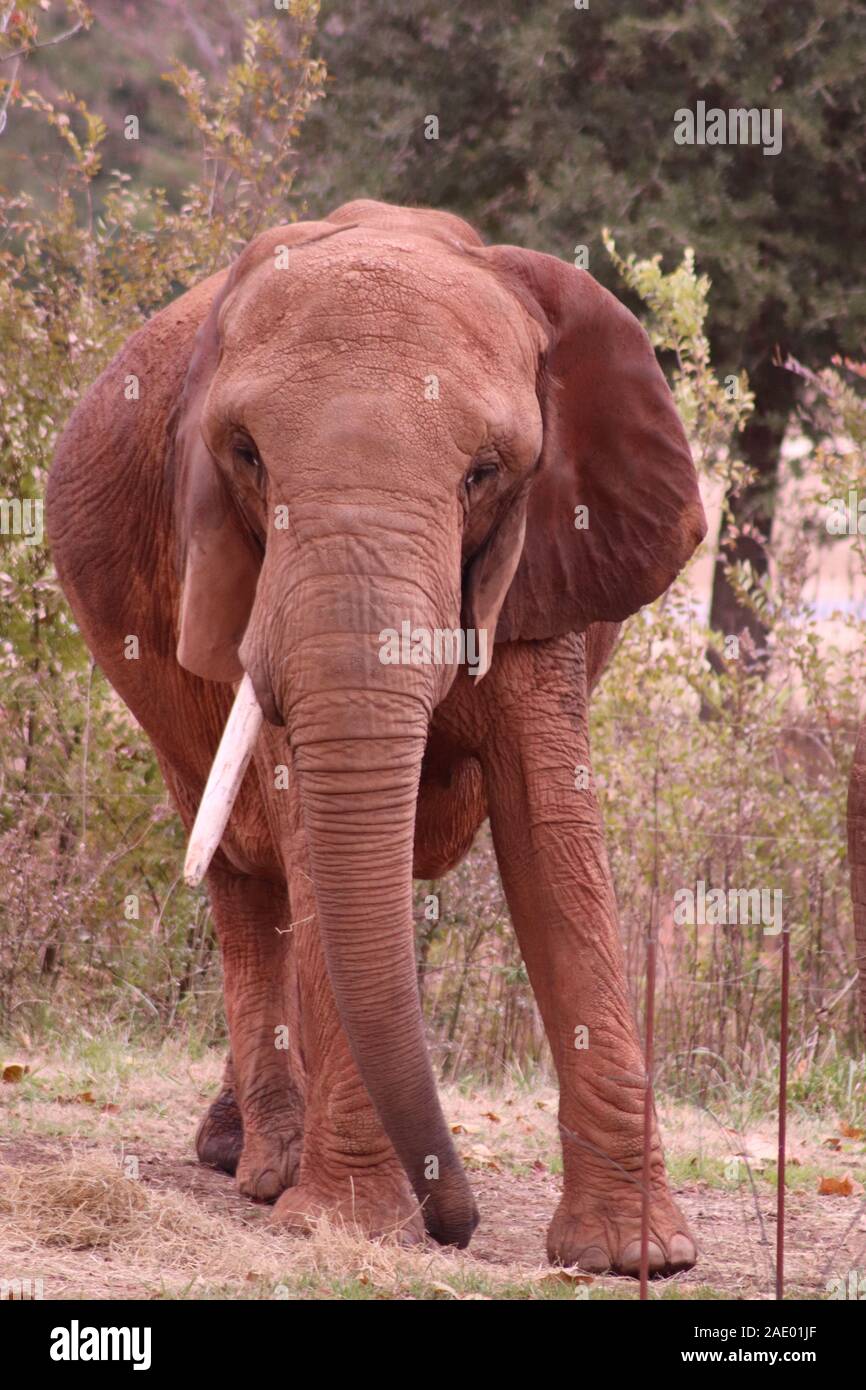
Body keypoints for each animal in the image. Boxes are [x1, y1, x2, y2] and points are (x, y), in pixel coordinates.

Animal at [47, 198, 706, 1275]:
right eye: (247, 456)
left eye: (485, 472)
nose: (458, 1222)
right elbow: (311, 834)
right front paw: (346, 1227)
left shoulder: (541, 564)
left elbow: (552, 832)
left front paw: (634, 1256)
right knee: (245, 877)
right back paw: (261, 1164)